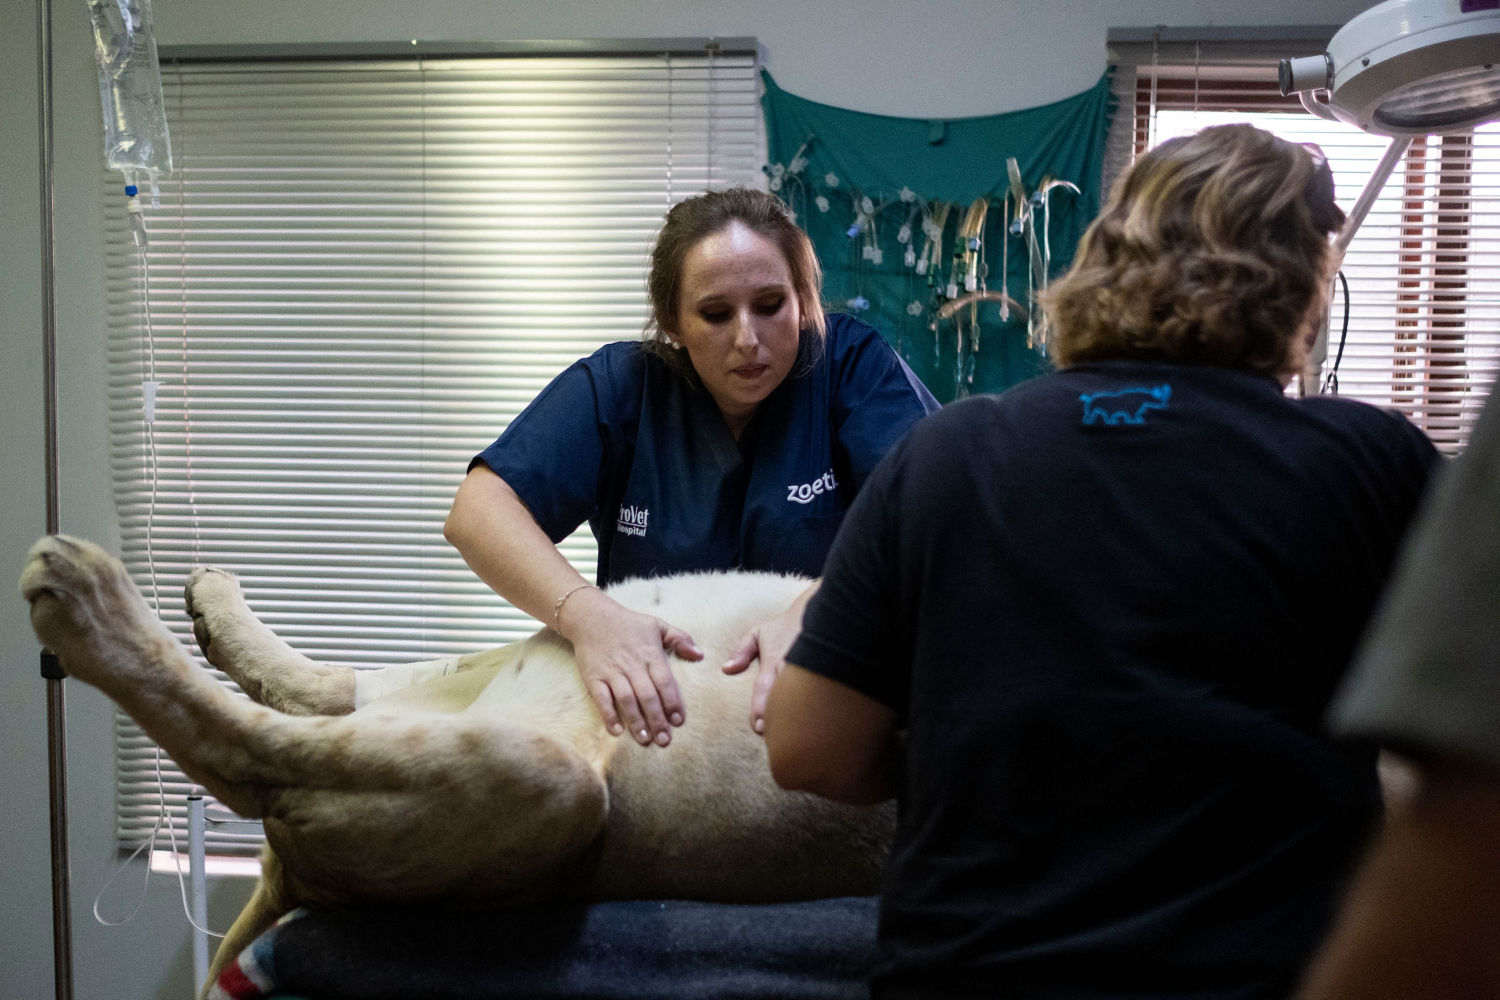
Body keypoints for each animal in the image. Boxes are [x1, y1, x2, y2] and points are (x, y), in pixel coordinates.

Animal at [19, 534, 893, 992]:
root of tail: (288, 883)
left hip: (554, 781)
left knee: (252, 752)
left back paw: (89, 599)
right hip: (527, 665)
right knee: (335, 690)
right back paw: (206, 600)